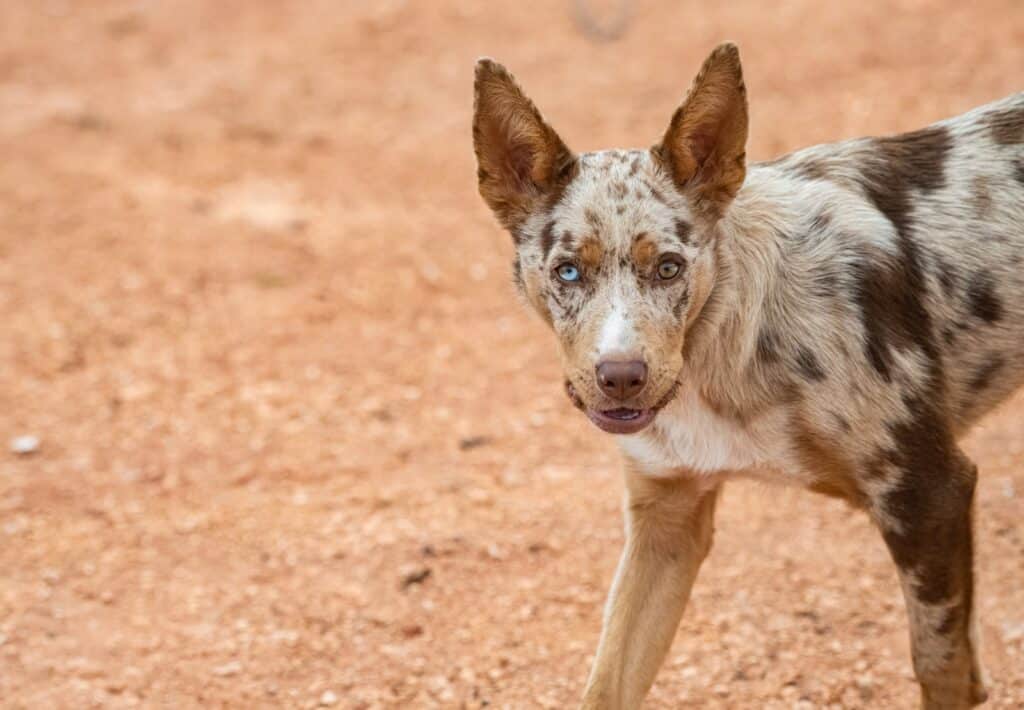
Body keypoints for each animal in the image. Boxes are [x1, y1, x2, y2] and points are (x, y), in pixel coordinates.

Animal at [471, 41, 1024, 704]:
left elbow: (941, 669)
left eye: (669, 267)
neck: (721, 354)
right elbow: (606, 686)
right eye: (568, 272)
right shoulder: (667, 522)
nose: (622, 376)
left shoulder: (927, 492)